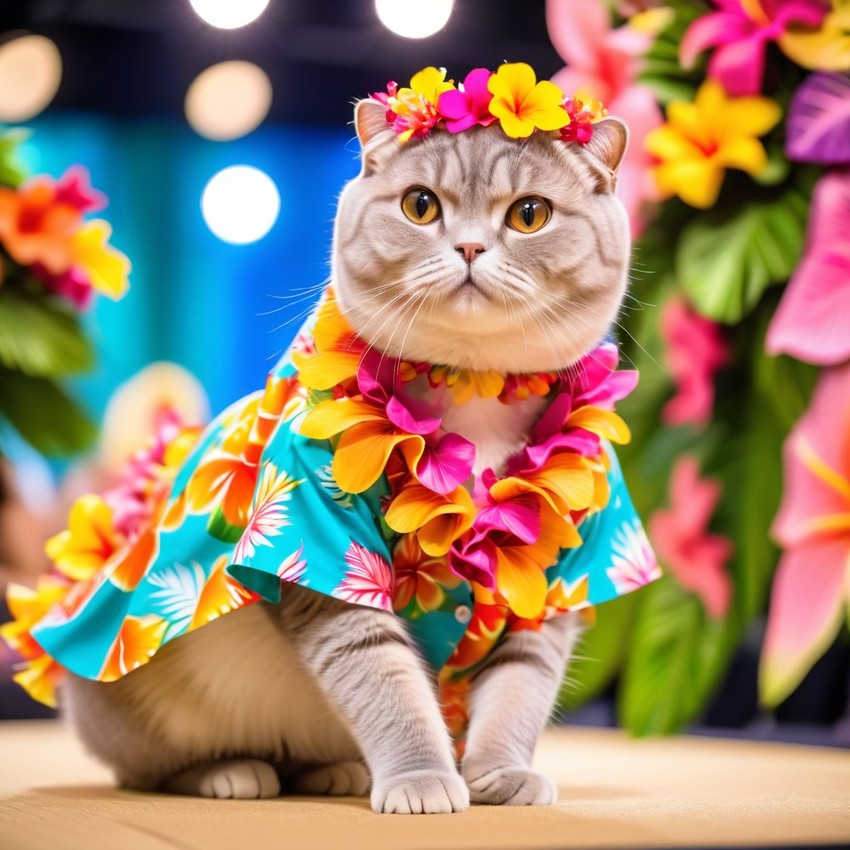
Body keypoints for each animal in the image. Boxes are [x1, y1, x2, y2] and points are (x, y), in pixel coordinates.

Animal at [59, 89, 628, 812]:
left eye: (531, 214)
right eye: (420, 205)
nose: (470, 245)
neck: (473, 392)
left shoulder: (552, 580)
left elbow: (521, 686)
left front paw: (502, 769)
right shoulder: (322, 553)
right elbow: (383, 680)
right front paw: (421, 778)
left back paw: (332, 770)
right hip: (142, 710)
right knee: (147, 770)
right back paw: (227, 772)